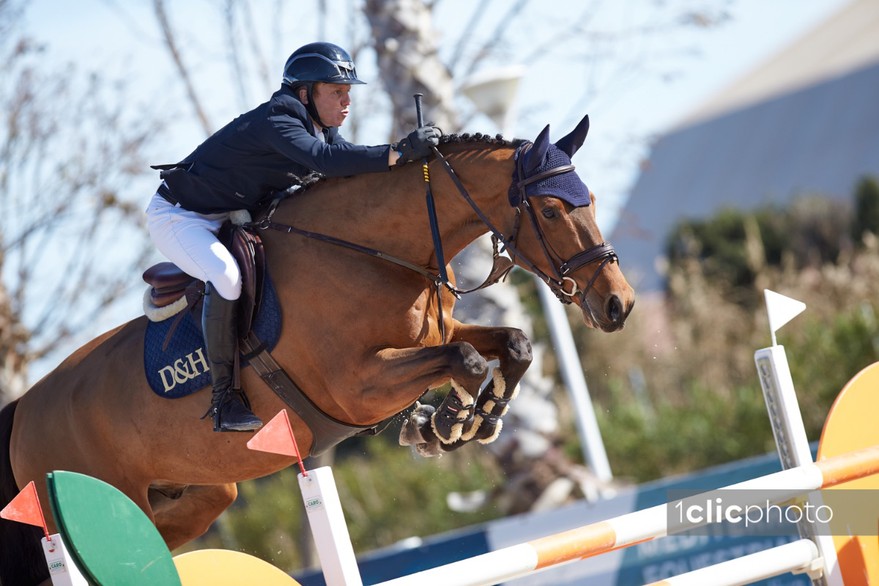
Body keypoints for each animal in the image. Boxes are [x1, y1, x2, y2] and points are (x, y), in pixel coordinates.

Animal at [0, 115, 632, 584]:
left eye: (592, 199)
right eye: (549, 209)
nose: (617, 305)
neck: (373, 251)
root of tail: (24, 409)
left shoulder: (435, 334)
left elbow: (511, 345)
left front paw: (474, 420)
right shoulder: (358, 386)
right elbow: (467, 361)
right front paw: (446, 422)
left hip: (202, 492)